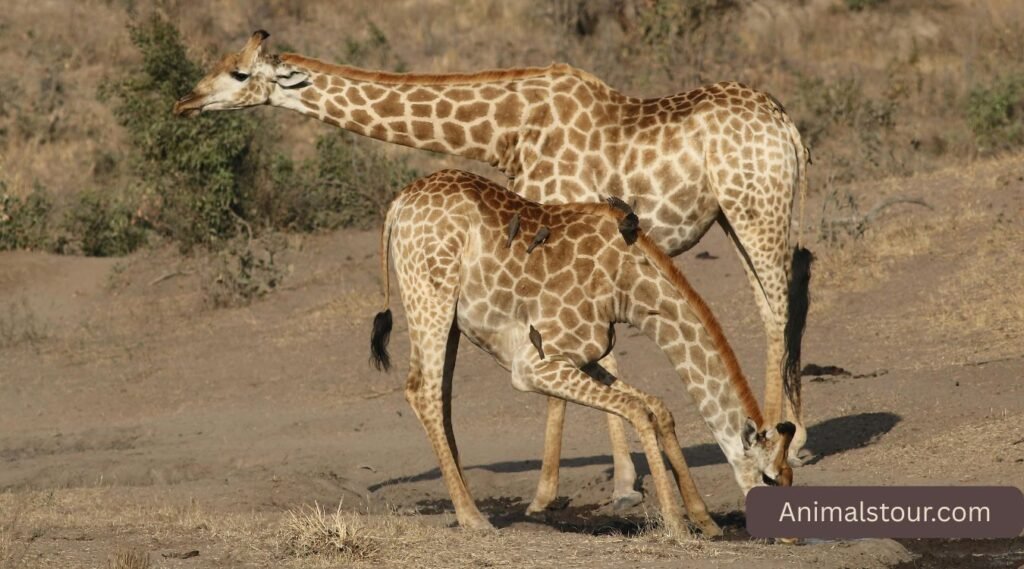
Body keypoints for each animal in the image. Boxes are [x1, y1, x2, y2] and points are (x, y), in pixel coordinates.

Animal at [369, 169, 795, 536]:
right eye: (770, 478)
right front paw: (676, 525)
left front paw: (704, 521)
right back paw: (473, 518)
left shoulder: (583, 356)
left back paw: (468, 506)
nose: (787, 535)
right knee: (421, 391)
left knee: (440, 398)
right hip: (431, 296)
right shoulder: (533, 366)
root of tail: (400, 203)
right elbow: (639, 410)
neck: (630, 288)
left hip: (451, 318)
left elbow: (658, 407)